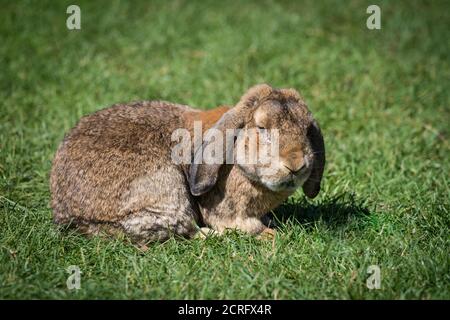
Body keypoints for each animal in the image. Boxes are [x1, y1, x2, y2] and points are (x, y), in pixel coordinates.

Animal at [50, 85, 324, 242]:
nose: (296, 164)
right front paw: (268, 233)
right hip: (167, 191)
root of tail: (73, 218)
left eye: (306, 129)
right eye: (261, 127)